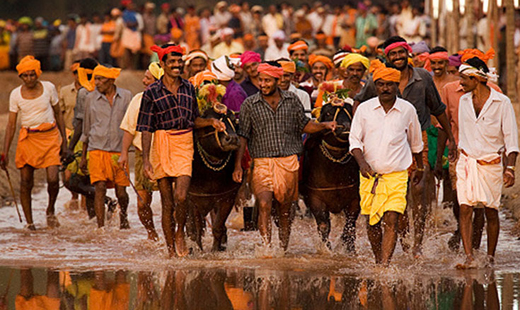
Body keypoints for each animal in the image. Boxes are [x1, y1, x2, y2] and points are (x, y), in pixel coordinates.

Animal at [189, 104, 242, 252]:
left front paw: (215, 249)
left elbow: (218, 226)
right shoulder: (192, 199)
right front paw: (198, 249)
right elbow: (195, 229)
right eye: (215, 123)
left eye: (233, 120)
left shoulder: (227, 197)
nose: (233, 139)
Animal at [302, 99, 360, 252]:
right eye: (328, 113)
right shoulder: (315, 200)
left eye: (350, 111)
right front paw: (327, 249)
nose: (346, 127)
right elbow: (324, 226)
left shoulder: (355, 200)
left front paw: (349, 248)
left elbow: (349, 227)